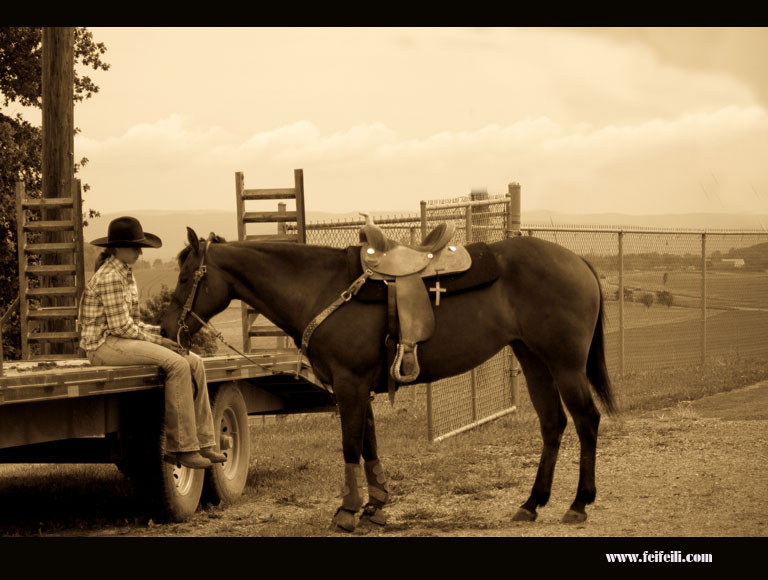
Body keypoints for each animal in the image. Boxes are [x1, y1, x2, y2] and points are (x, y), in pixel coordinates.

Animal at [162, 225, 616, 532]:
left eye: (185, 277)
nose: (167, 329)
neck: (323, 287)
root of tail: (578, 261)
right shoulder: (359, 386)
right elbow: (369, 444)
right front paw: (375, 507)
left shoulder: (349, 384)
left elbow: (350, 445)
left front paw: (348, 511)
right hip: (534, 359)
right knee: (553, 424)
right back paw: (532, 502)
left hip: (565, 364)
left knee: (586, 421)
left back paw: (579, 503)